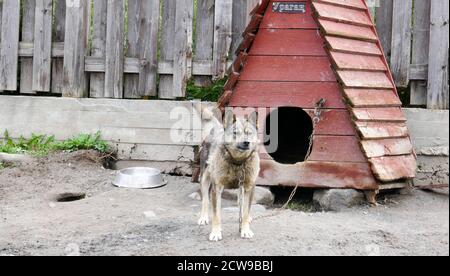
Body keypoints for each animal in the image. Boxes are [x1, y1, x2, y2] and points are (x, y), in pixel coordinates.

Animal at [197, 106, 260, 240]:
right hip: (204, 178)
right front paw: (216, 232)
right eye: (235, 133)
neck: (238, 162)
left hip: (241, 188)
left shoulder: (248, 187)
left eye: (249, 133)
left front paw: (245, 230)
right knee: (205, 200)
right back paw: (204, 218)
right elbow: (216, 214)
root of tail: (217, 127)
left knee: (240, 202)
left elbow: (245, 211)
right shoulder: (217, 188)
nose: (246, 142)